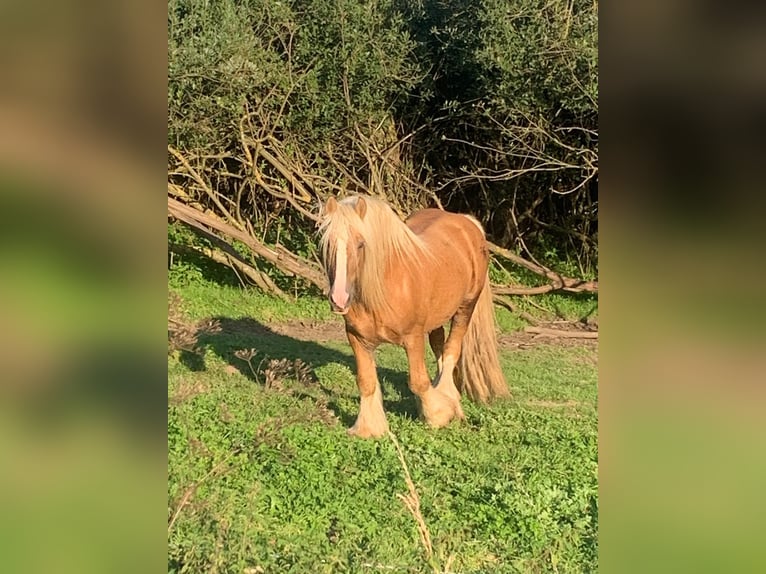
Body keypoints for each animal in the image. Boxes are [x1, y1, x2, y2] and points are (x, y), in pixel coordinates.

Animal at [318, 196, 510, 438]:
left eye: (361, 244)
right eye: (327, 245)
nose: (339, 299)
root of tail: (466, 222)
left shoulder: (413, 338)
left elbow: (418, 381)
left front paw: (440, 415)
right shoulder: (357, 339)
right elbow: (366, 382)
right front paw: (368, 428)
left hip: (465, 308)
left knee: (451, 350)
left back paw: (450, 399)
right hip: (437, 317)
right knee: (439, 348)